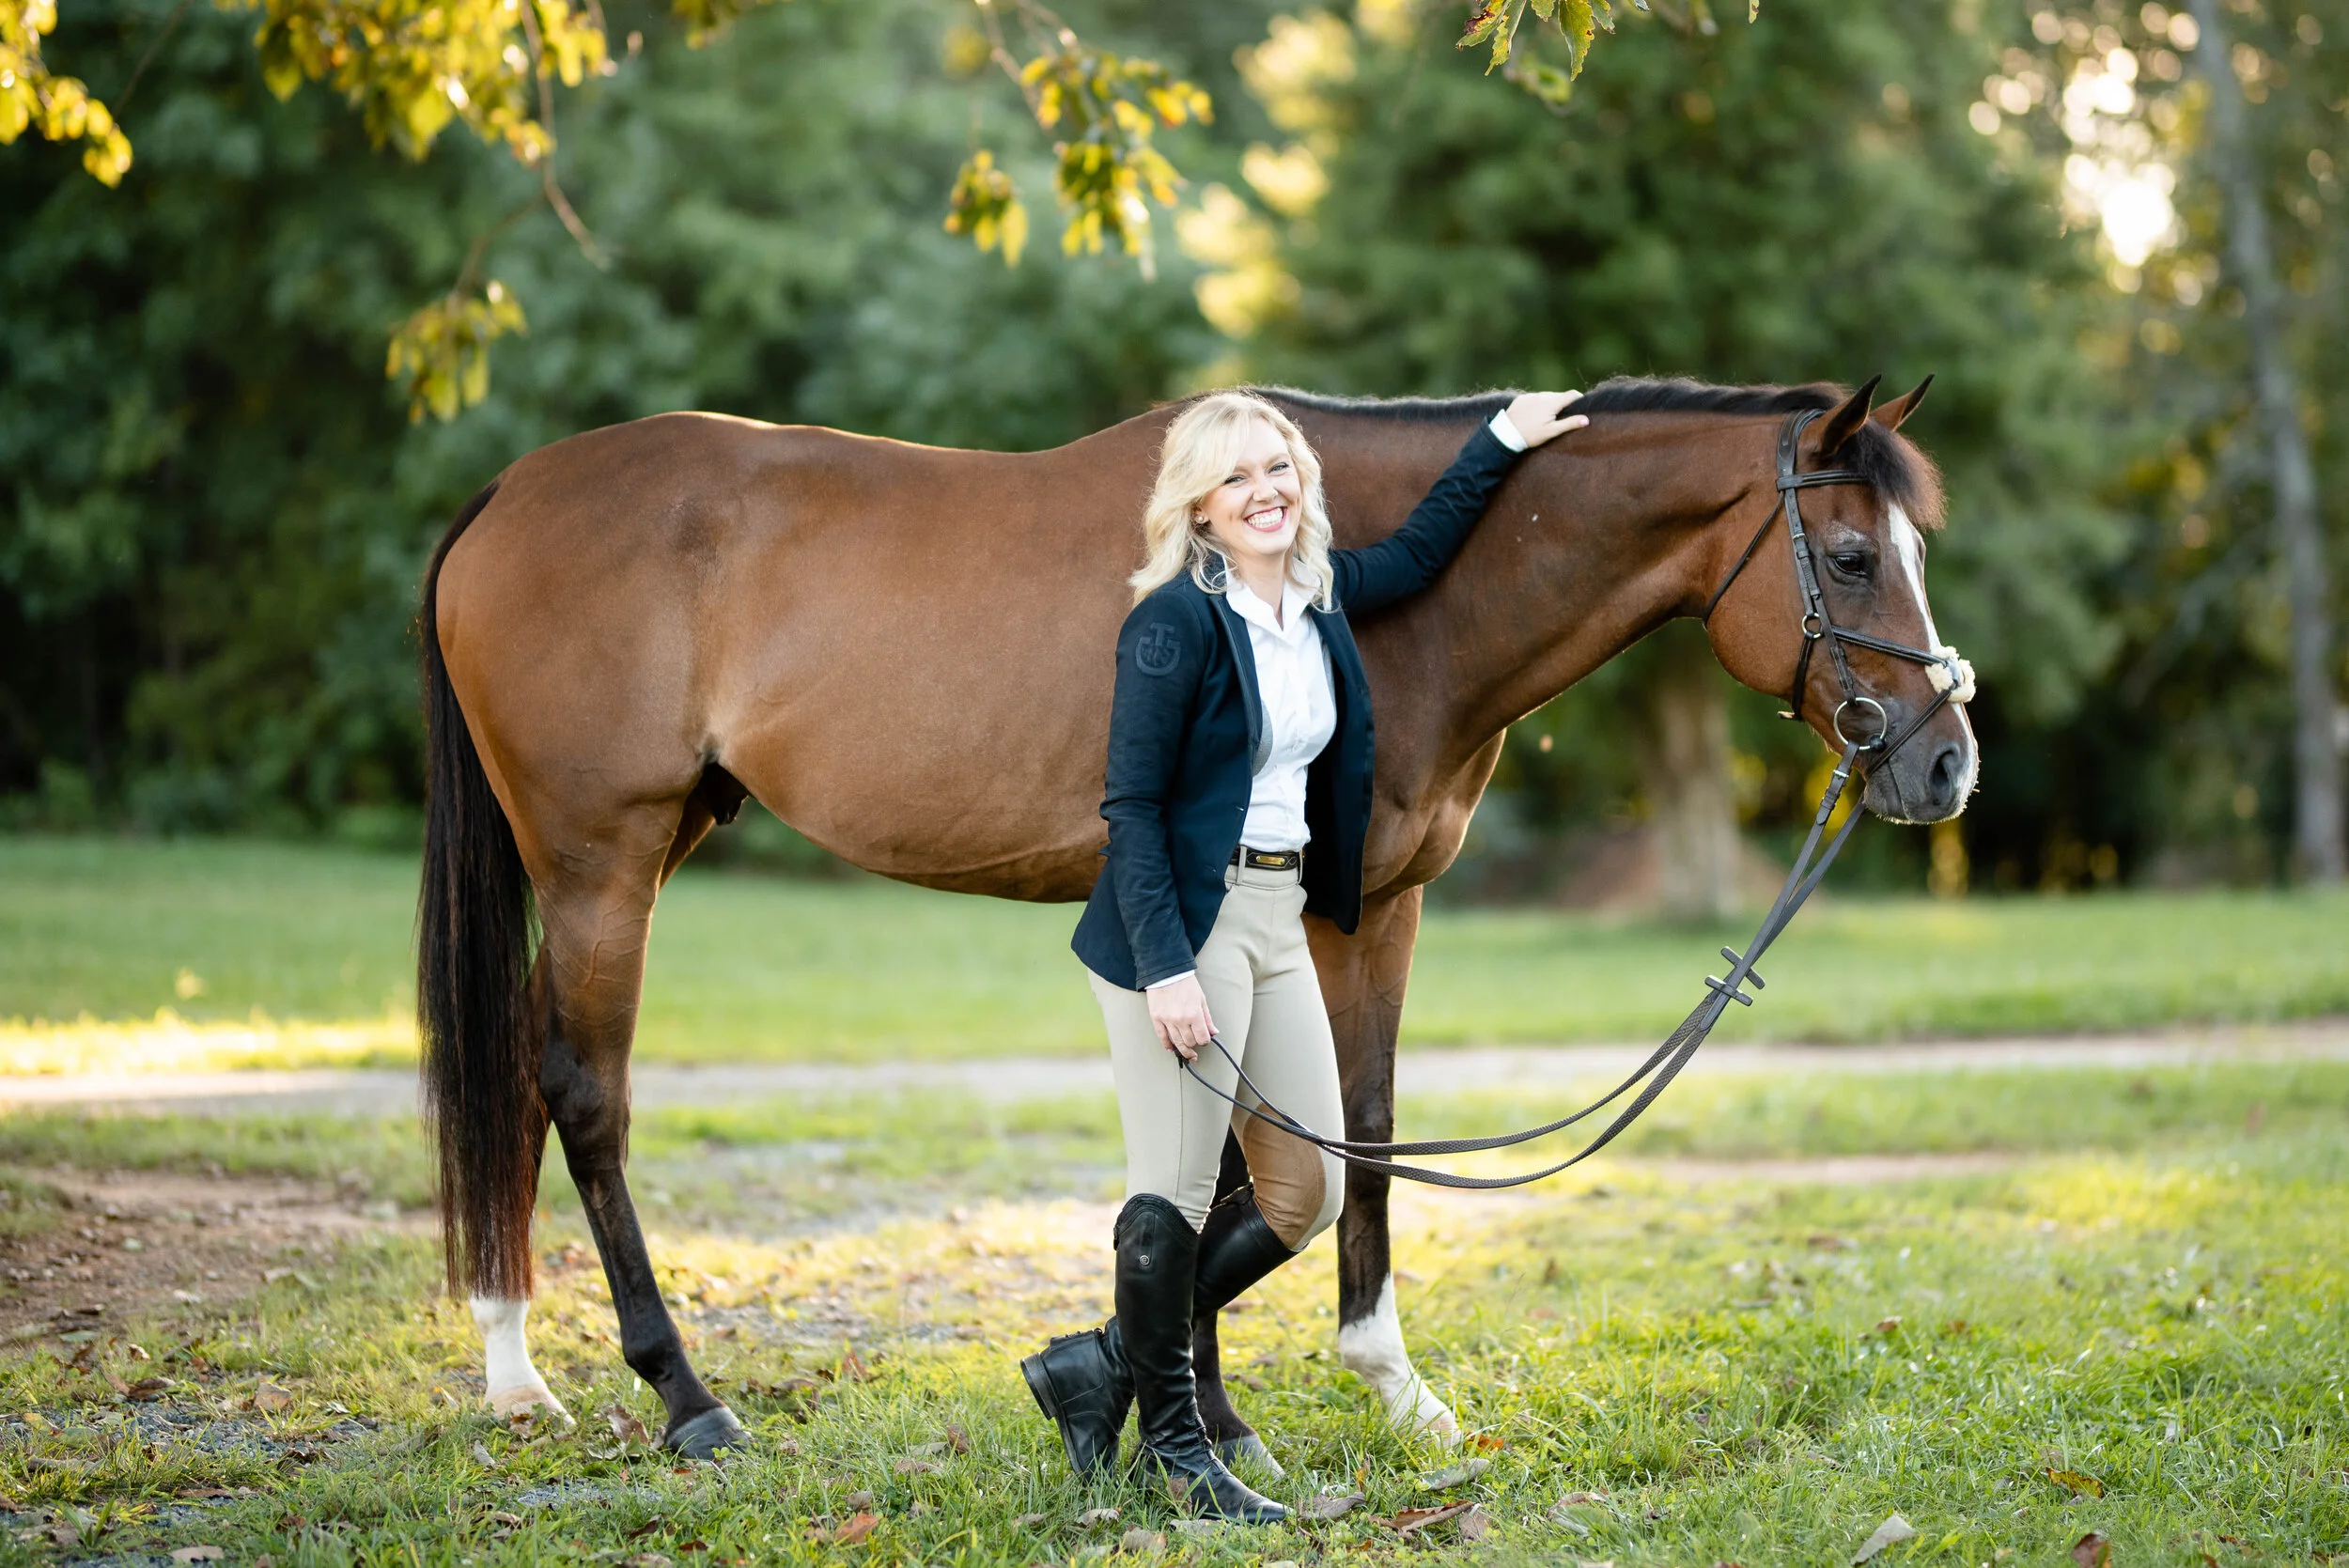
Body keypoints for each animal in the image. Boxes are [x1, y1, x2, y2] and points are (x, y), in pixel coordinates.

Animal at [416, 374, 1975, 1458]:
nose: (1945, 762)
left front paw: (1295, 1393)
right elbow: (1284, 1149)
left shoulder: (1368, 912)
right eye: (1849, 555)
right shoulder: (1294, 921)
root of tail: (508, 491)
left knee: (517, 1081)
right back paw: (682, 1397)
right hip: (603, 860)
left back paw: (513, 1369)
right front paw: (1243, 1400)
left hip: (635, 849)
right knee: (584, 1093)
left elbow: (1325, 1137)